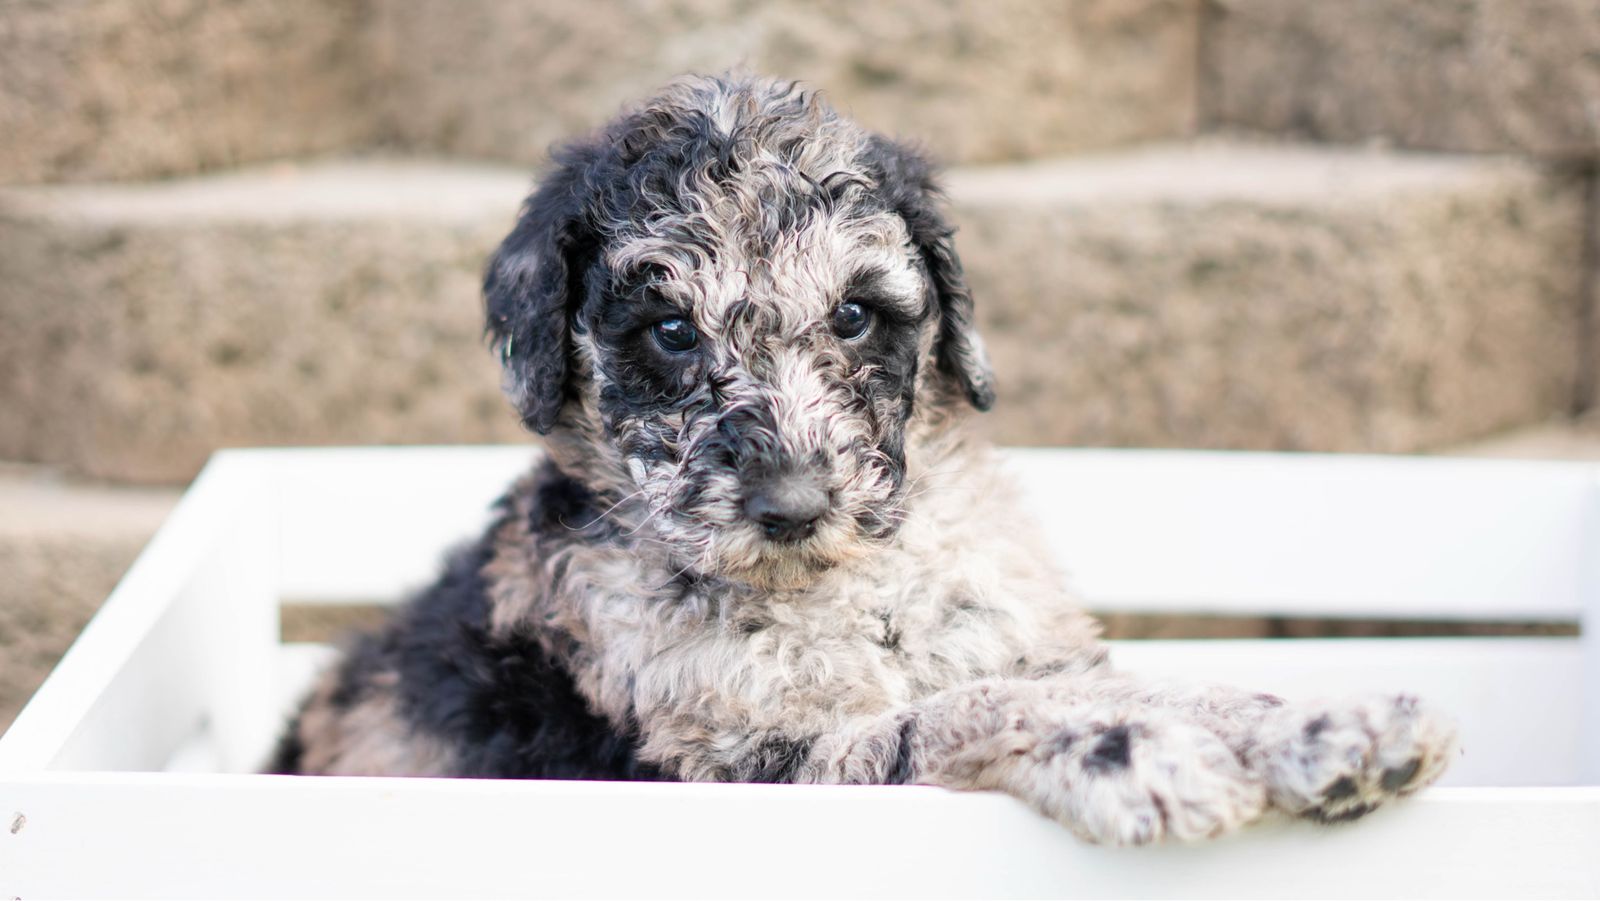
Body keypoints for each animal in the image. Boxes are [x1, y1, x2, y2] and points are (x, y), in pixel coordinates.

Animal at [270, 73, 1457, 845]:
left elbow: (1166, 685)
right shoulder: (744, 760)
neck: (846, 588)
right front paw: (1133, 751)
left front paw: (1322, 723)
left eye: (853, 315)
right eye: (669, 332)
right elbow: (952, 717)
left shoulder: (1024, 645)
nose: (793, 504)